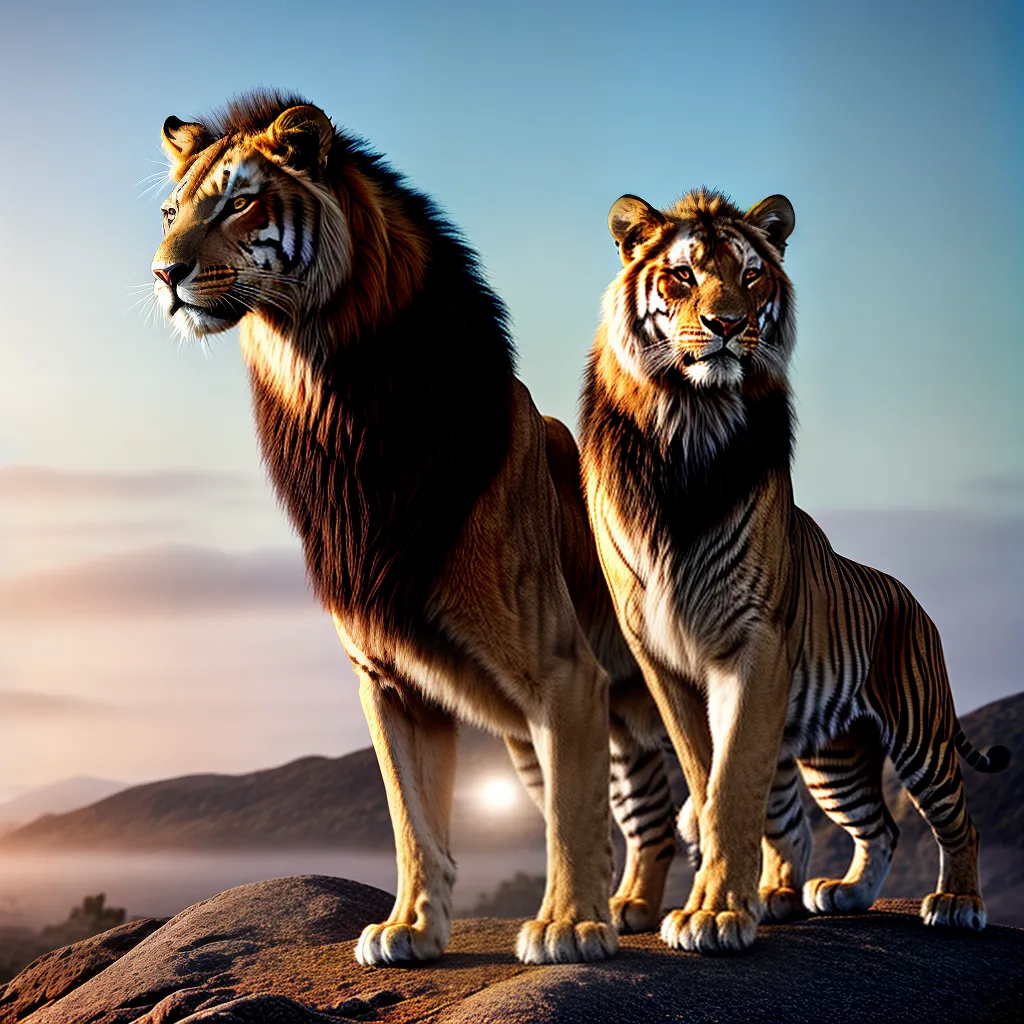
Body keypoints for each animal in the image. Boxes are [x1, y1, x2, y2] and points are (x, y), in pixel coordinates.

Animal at [149, 91, 679, 966]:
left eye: (239, 202)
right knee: (654, 805)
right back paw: (636, 904)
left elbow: (571, 817)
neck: (334, 403)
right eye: (170, 213)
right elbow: (413, 819)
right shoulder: (390, 677)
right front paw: (411, 928)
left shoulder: (564, 670)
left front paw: (569, 927)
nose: (164, 274)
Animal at [578, 188, 1011, 954]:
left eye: (751, 276)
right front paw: (727, 901)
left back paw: (957, 901)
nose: (727, 325)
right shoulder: (659, 655)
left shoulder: (754, 640)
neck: (689, 422)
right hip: (835, 754)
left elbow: (734, 784)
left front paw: (717, 914)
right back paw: (835, 894)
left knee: (957, 818)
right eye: (682, 275)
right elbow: (707, 778)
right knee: (880, 824)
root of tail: (909, 595)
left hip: (919, 727)